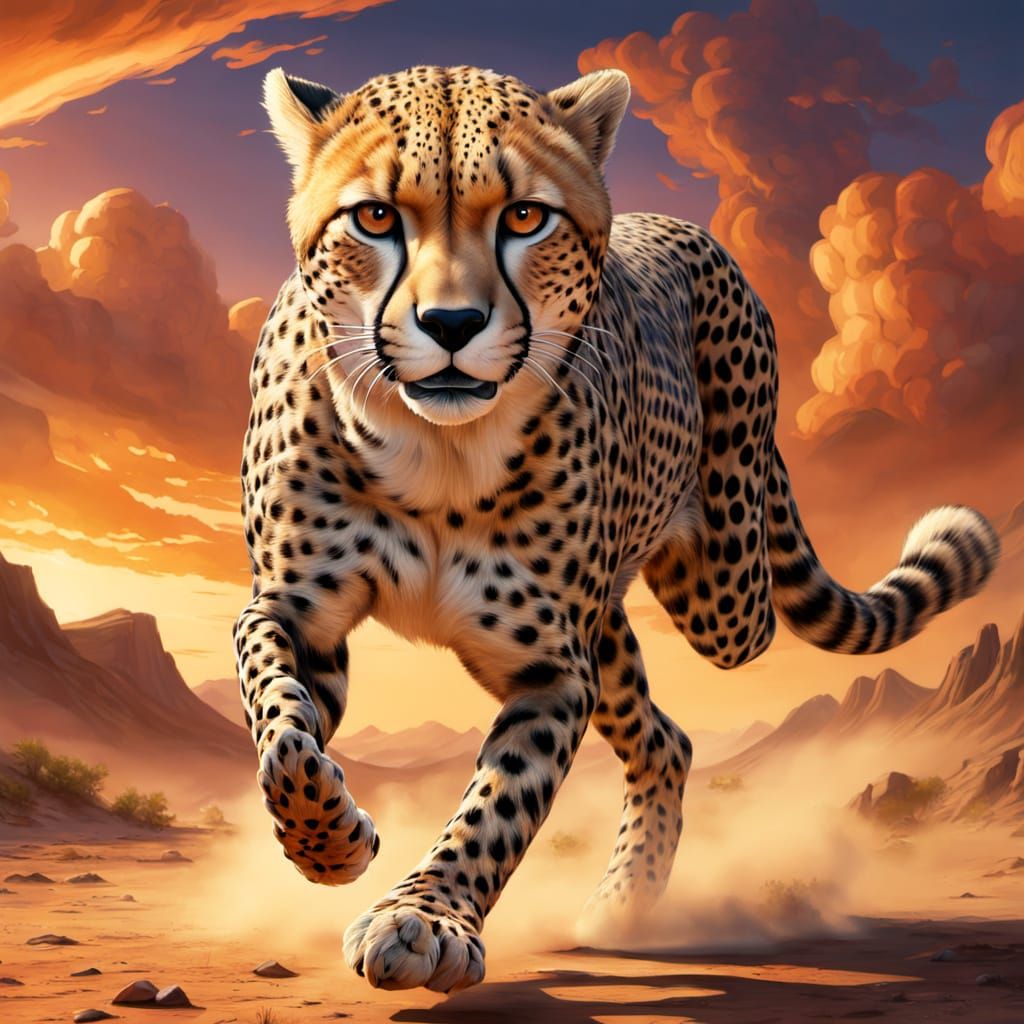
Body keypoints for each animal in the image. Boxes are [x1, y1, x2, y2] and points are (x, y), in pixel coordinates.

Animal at [233, 64, 1000, 994]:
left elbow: (500, 804)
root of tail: (678, 223)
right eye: (375, 217)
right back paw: (625, 901)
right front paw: (329, 841)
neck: (439, 456)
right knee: (664, 737)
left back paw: (624, 901)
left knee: (707, 655)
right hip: (614, 628)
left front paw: (425, 919)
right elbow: (282, 724)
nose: (451, 326)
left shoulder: (550, 668)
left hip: (720, 599)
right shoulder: (296, 614)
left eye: (525, 217)